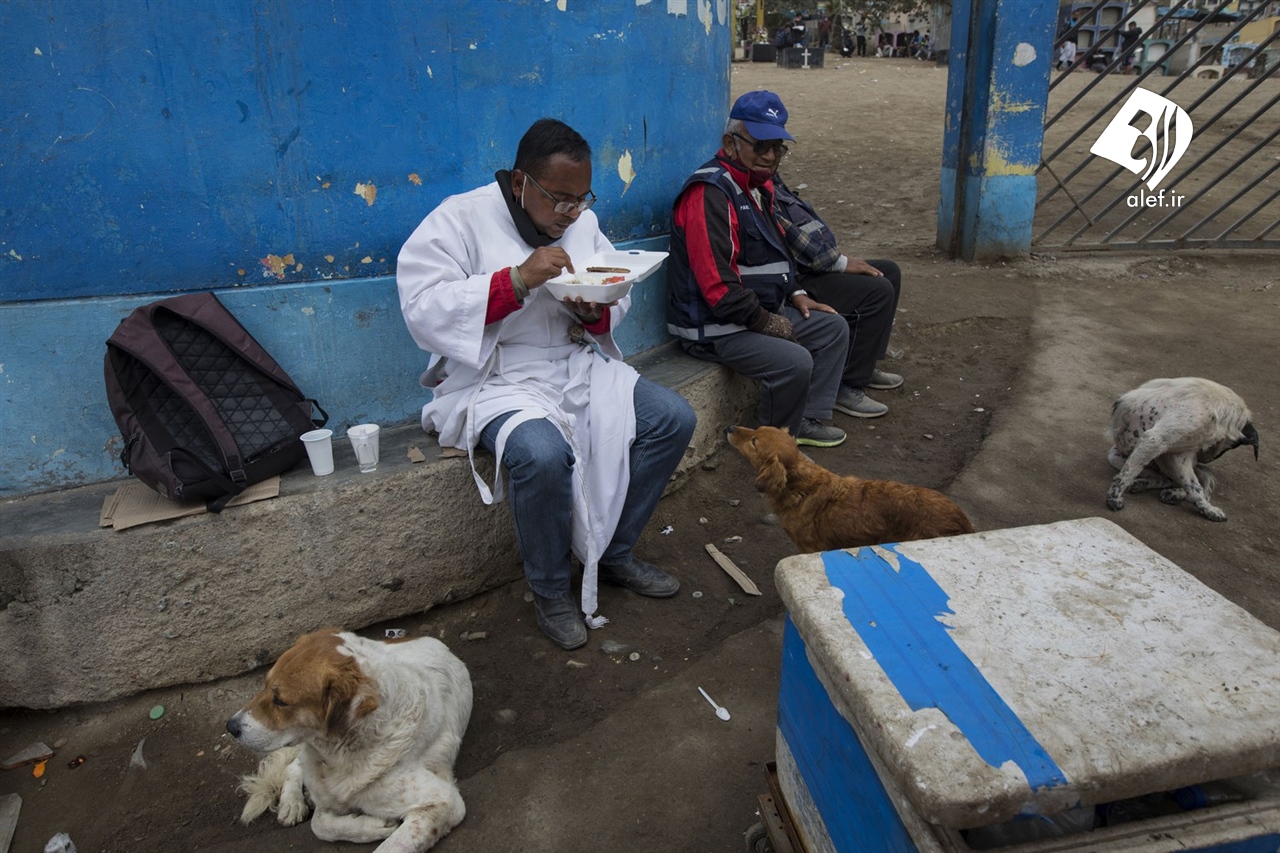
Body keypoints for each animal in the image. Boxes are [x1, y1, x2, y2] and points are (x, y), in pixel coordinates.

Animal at [226, 628, 472, 852]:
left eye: (281, 701)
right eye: (265, 685)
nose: (230, 727)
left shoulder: (444, 801)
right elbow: (320, 824)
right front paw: (372, 825)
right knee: (293, 765)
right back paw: (292, 803)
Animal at [726, 425, 974, 551]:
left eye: (754, 442)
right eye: (756, 428)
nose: (729, 427)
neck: (800, 485)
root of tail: (961, 519)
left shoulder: (811, 548)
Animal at [1106, 377, 1259, 522]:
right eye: (1232, 447)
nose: (1204, 459)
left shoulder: (1179, 456)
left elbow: (1195, 487)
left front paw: (1207, 509)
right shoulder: (1154, 440)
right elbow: (1124, 476)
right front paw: (1113, 498)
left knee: (1178, 481)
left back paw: (1168, 492)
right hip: (1117, 456)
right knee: (1166, 478)